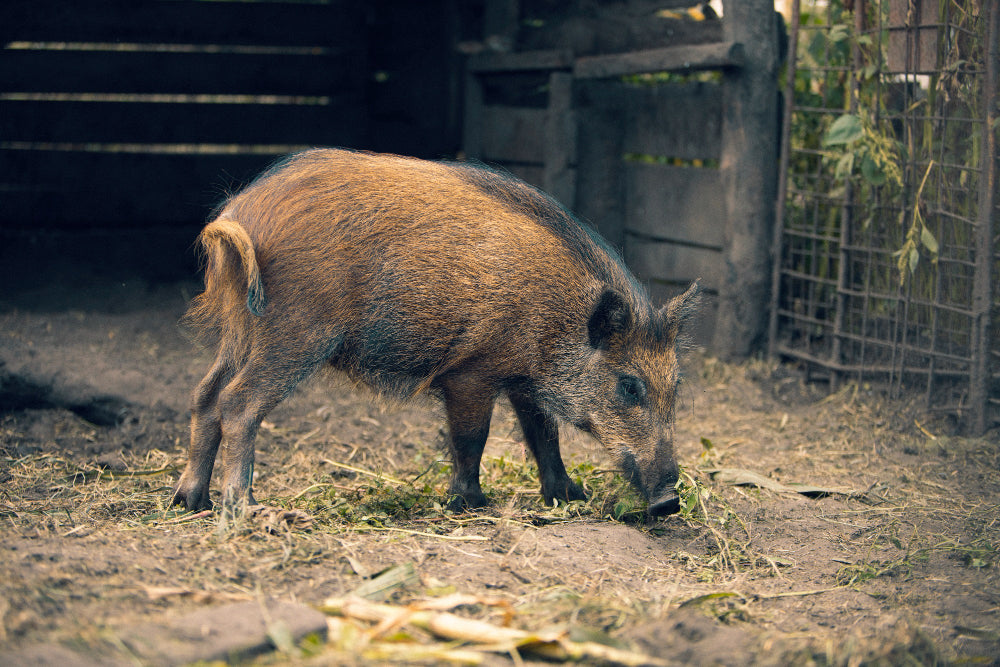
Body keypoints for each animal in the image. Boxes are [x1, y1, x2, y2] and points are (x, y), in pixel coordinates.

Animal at [172, 148, 698, 517]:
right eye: (629, 386)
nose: (669, 502)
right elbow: (472, 438)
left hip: (241, 332)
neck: (556, 318)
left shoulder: (523, 382)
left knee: (204, 394)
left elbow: (543, 436)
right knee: (238, 402)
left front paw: (569, 496)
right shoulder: (472, 372)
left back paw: (190, 501)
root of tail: (239, 215)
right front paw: (472, 504)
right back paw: (244, 507)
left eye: (676, 386)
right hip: (294, 332)